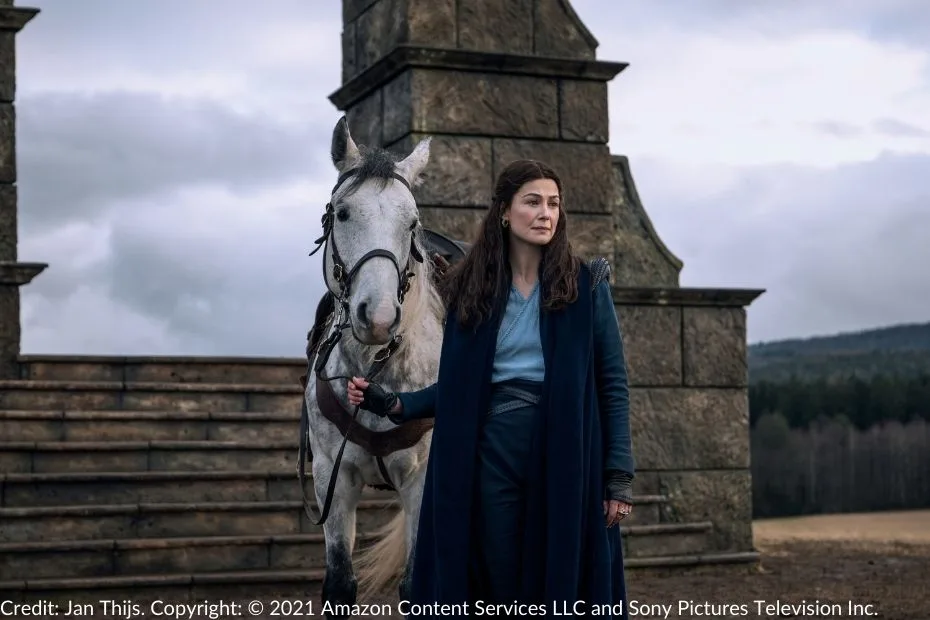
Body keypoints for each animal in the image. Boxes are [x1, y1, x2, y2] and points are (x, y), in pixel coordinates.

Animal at [300, 116, 450, 616]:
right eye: (342, 213)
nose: (380, 318)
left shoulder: (424, 482)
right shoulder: (332, 476)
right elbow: (340, 582)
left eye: (412, 223)